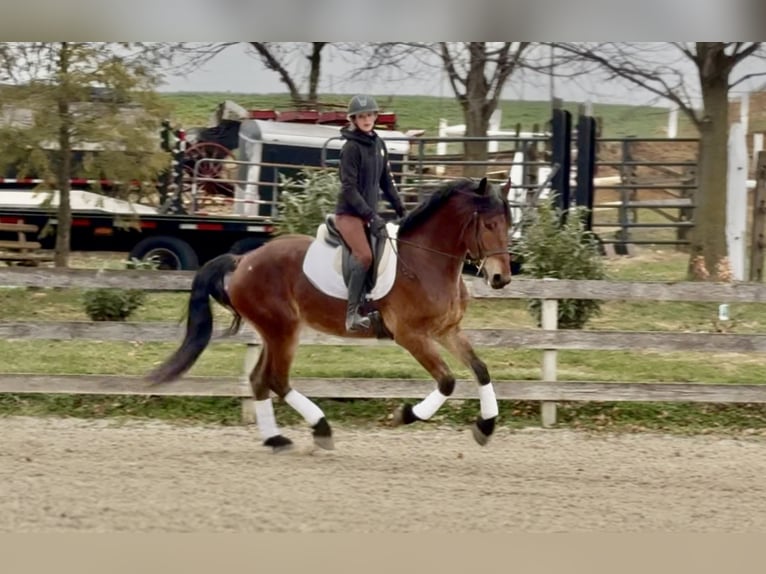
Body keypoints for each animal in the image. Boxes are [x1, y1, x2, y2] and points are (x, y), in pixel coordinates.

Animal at [146, 176, 513, 452]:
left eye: (508, 225)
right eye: (489, 224)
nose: (501, 278)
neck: (426, 261)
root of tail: (242, 261)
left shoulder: (446, 331)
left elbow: (480, 370)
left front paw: (485, 426)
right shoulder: (412, 336)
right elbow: (448, 381)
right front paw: (404, 414)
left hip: (273, 332)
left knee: (260, 380)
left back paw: (276, 439)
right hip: (282, 330)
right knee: (277, 380)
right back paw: (320, 429)